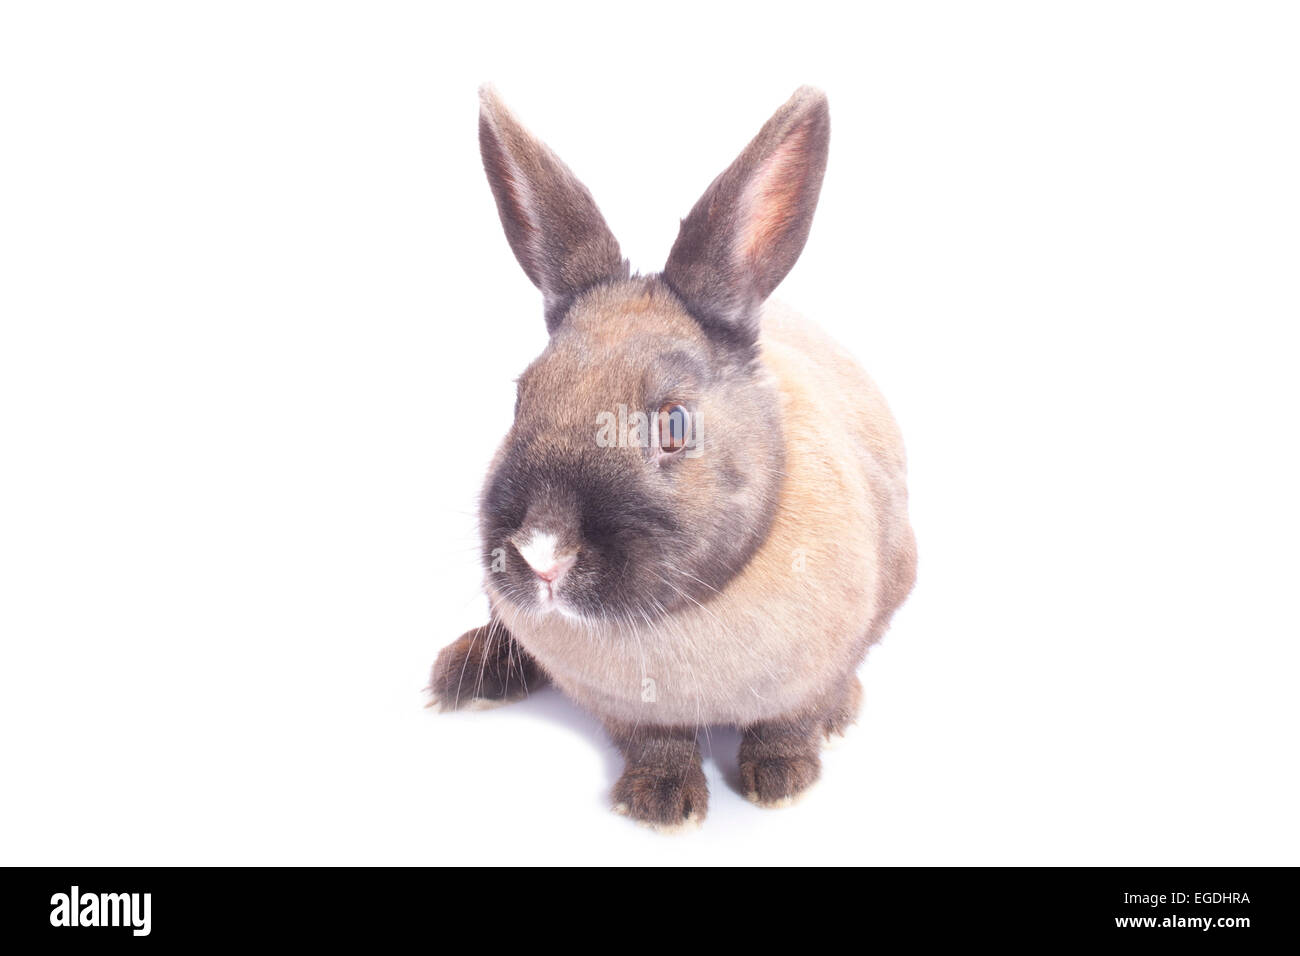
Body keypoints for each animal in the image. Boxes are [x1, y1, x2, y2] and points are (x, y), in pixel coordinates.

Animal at [430, 84, 916, 831]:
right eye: (521, 398)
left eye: (675, 425)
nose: (542, 554)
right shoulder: (622, 707)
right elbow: (654, 741)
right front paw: (662, 802)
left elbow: (790, 720)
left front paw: (783, 779)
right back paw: (463, 678)